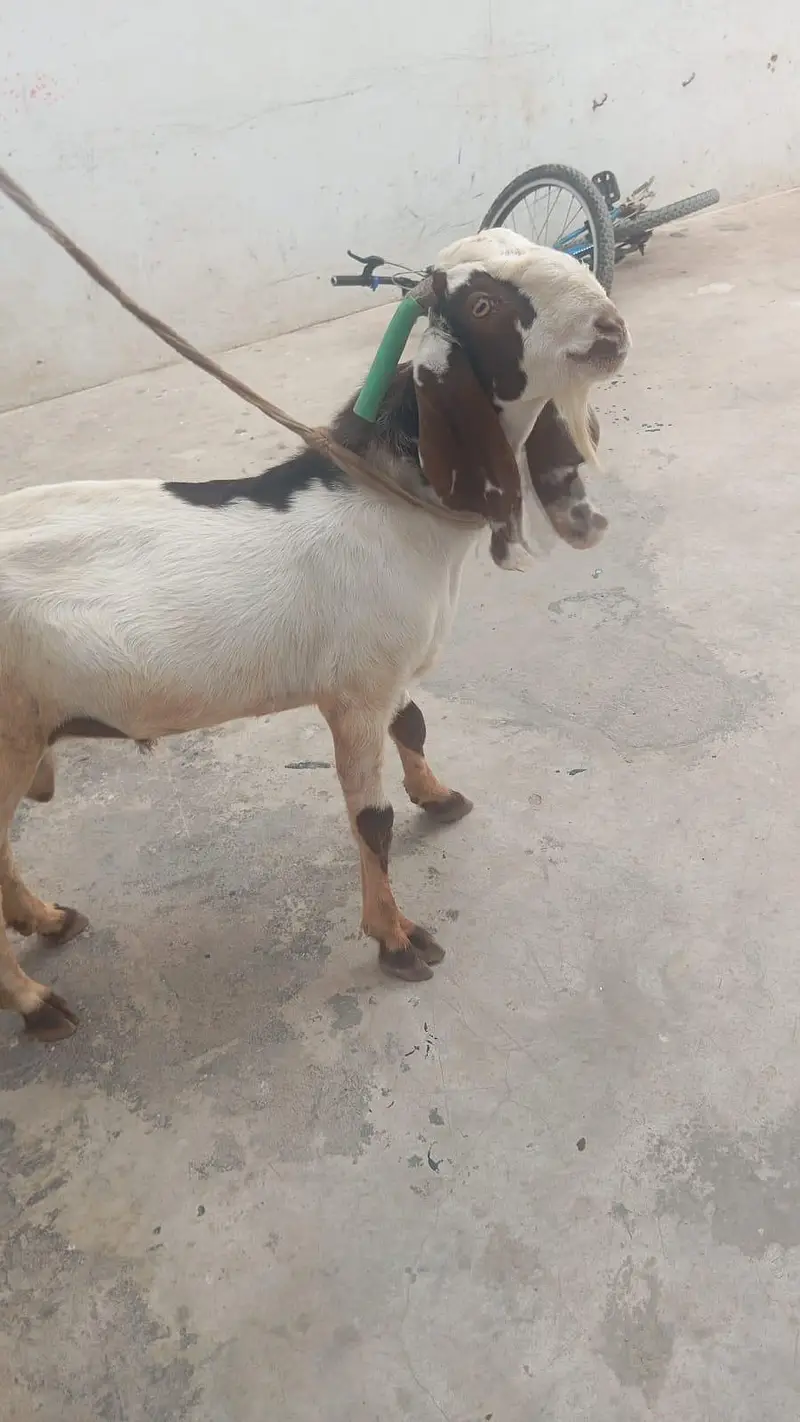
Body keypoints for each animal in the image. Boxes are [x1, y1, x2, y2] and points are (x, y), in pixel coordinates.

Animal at [0, 230, 629, 1041]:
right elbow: (372, 819)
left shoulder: (382, 672)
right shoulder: (352, 694)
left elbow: (414, 726)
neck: (390, 505)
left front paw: (440, 798)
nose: (611, 329)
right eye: (484, 304)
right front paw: (397, 940)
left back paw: (47, 920)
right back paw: (35, 1002)